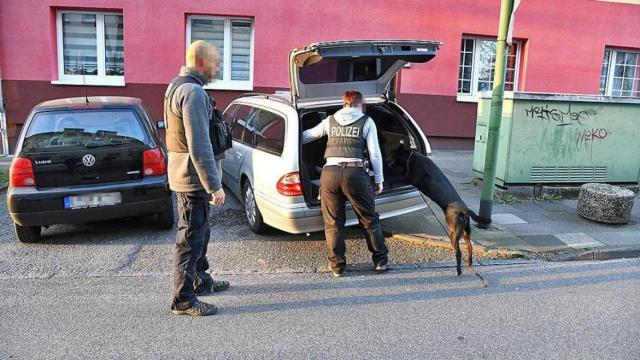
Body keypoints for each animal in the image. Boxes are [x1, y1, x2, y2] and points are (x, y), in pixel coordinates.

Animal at [390, 145, 490, 278]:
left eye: (391, 154)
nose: (385, 160)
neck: (411, 156)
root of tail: (465, 210)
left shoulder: (410, 178)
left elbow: (398, 176)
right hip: (465, 232)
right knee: (469, 247)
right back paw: (469, 263)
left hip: (453, 233)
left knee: (458, 252)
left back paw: (459, 270)